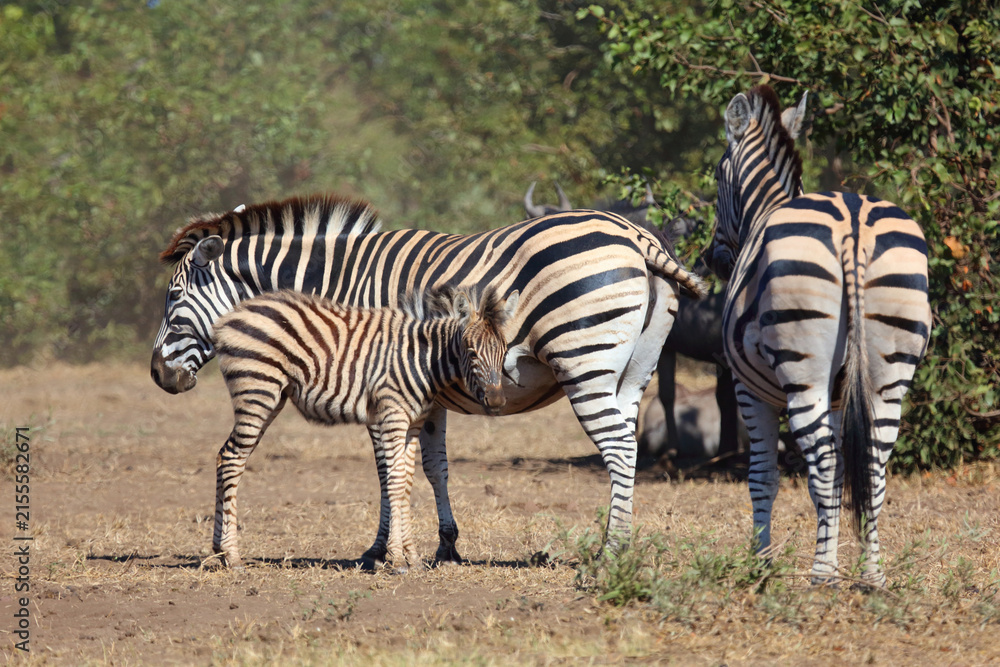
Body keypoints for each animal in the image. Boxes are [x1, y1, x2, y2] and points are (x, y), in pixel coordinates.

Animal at [211, 286, 517, 571]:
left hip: (271, 397)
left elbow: (407, 481)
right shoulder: (393, 416)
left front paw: (412, 557)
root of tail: (232, 314)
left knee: (224, 455)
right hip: (257, 390)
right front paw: (397, 559)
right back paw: (232, 556)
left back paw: (218, 552)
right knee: (232, 459)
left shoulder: (414, 423)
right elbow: (395, 480)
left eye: (504, 351)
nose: (497, 401)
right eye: (471, 352)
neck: (423, 358)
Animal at [707, 85, 931, 586]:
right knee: (873, 466)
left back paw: (823, 573)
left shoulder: (748, 388)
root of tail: (853, 220)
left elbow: (764, 477)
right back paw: (872, 574)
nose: (712, 258)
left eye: (716, 175)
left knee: (826, 464)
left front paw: (761, 563)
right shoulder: (839, 394)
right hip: (888, 376)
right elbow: (834, 476)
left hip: (802, 374)